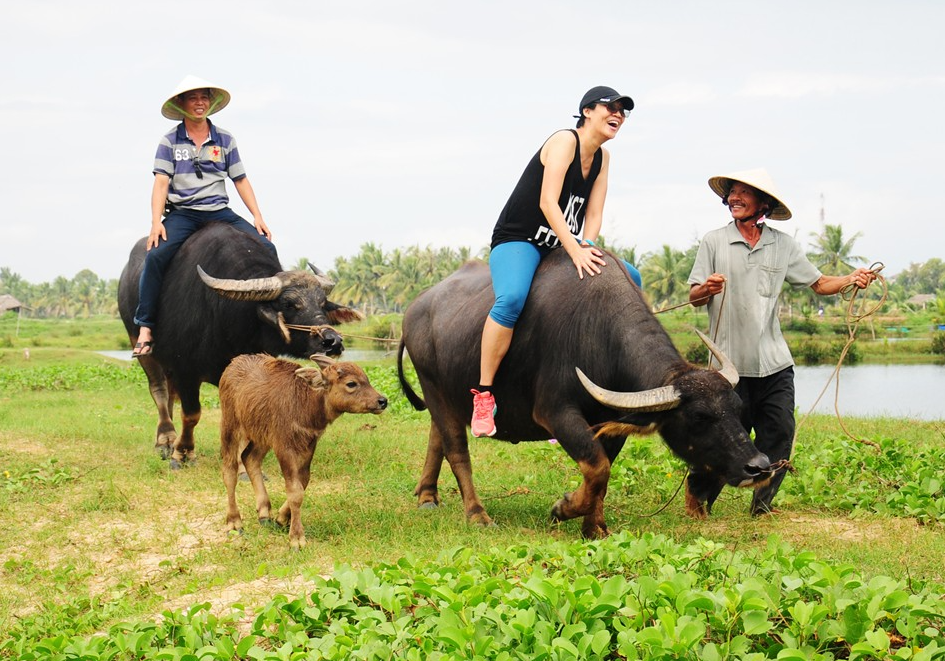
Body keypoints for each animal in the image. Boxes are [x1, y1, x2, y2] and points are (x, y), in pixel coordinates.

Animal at [114, 219, 358, 466]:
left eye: (322, 303)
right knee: (159, 390)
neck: (227, 321)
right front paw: (183, 453)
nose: (332, 341)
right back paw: (165, 441)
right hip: (141, 346)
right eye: (289, 304)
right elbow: (191, 414)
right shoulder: (185, 370)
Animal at [219, 354, 386, 548]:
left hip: (261, 435)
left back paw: (264, 514)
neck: (306, 404)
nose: (382, 401)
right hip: (230, 426)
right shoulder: (284, 447)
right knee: (229, 470)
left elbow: (303, 482)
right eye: (351, 383)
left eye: (366, 378)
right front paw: (296, 538)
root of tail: (233, 363)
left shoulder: (309, 445)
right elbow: (295, 491)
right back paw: (234, 522)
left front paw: (282, 518)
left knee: (250, 458)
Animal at [394, 248, 772, 536]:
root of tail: (416, 307)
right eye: (698, 417)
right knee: (457, 450)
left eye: (737, 408)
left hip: (448, 395)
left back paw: (426, 496)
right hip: (433, 386)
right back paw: (476, 514)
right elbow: (597, 466)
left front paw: (594, 527)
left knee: (437, 437)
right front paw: (563, 508)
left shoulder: (613, 421)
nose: (759, 467)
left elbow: (602, 471)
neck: (598, 333)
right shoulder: (555, 412)